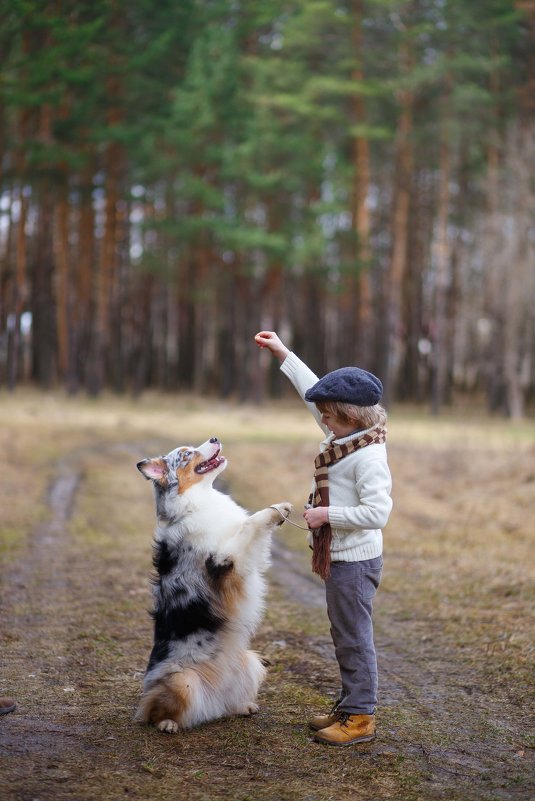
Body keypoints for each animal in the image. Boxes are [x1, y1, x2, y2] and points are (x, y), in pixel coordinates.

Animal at [135, 438, 294, 732]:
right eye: (186, 454)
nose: (214, 438)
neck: (197, 502)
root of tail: (211, 704)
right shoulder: (224, 561)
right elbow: (249, 524)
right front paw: (273, 511)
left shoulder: (246, 561)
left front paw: (281, 509)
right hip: (182, 681)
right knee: (152, 709)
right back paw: (167, 723)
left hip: (250, 661)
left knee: (224, 704)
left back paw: (240, 706)